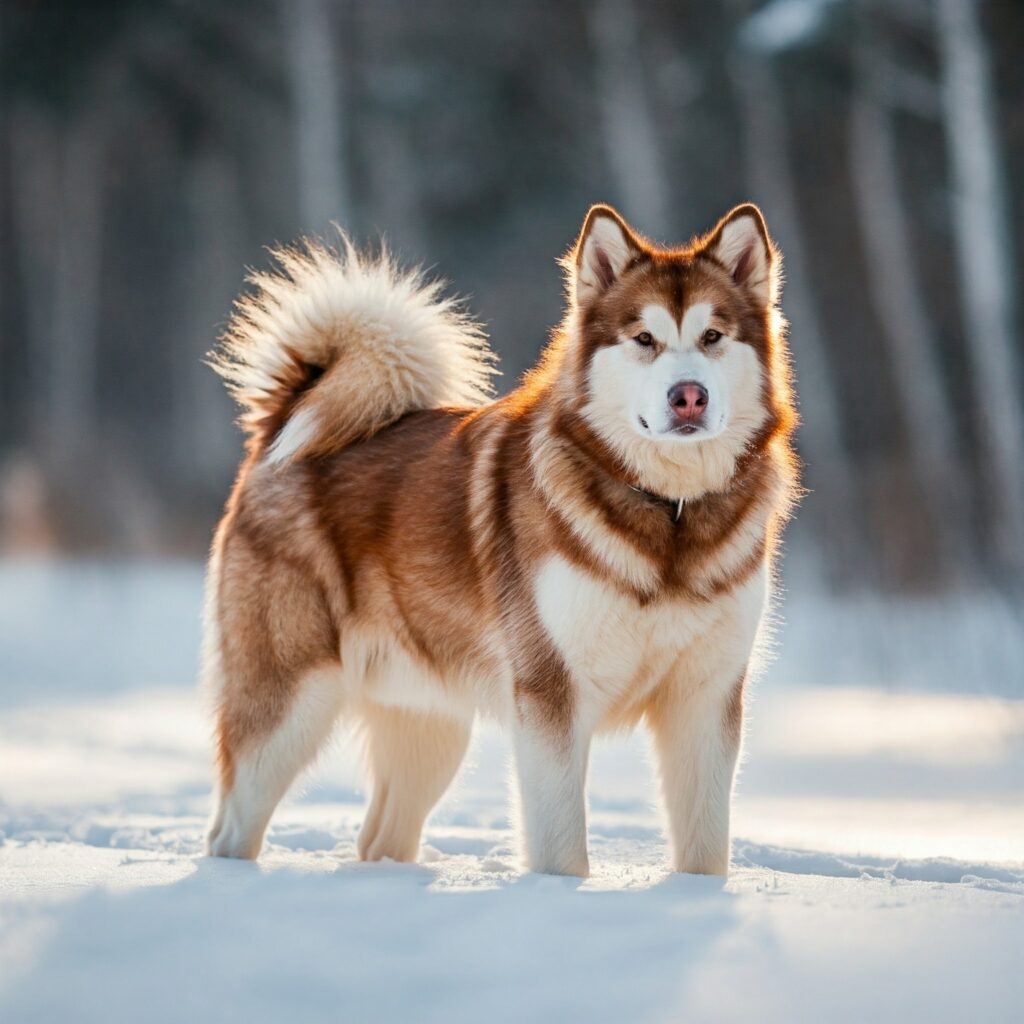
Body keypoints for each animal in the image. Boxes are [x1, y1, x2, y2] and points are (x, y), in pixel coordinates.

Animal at [203, 203, 798, 876]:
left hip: (431, 727)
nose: (688, 396)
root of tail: (282, 427)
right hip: (289, 704)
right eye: (644, 339)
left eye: (713, 336)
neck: (668, 514)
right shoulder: (551, 694)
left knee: (380, 837)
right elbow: (561, 847)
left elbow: (705, 848)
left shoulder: (706, 700)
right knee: (232, 827)